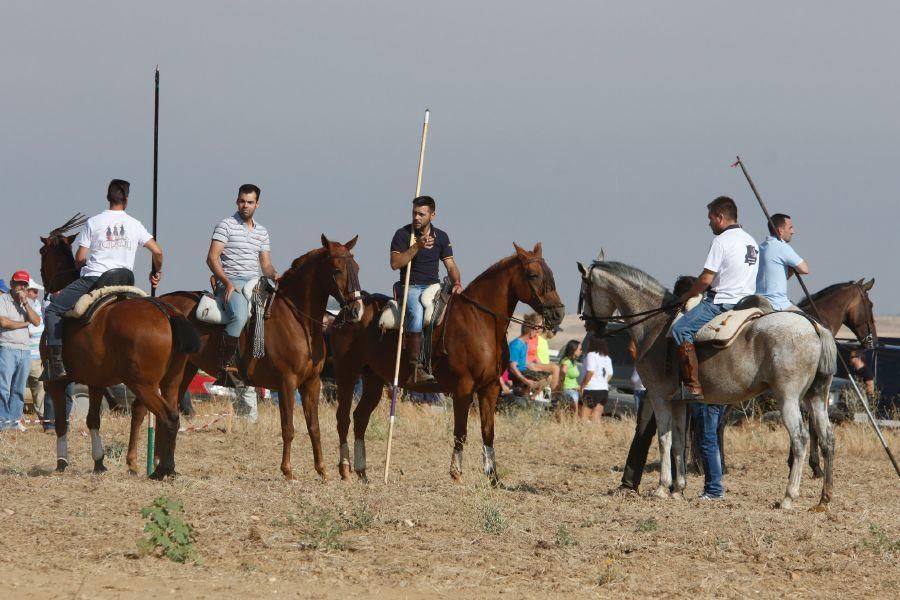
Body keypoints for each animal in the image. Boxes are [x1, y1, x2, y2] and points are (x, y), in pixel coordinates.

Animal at [39, 216, 200, 478]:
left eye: (42, 252)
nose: (44, 283)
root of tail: (166, 312)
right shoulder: (95, 382)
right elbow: (93, 420)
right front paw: (99, 462)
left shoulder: (56, 382)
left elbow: (62, 423)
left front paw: (62, 462)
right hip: (171, 382)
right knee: (171, 414)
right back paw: (167, 468)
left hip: (143, 384)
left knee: (167, 417)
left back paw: (161, 470)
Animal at [162, 237, 362, 480]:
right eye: (337, 270)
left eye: (357, 268)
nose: (355, 311)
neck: (298, 321)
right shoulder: (287, 383)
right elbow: (288, 428)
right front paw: (288, 471)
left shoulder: (312, 383)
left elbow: (314, 427)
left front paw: (322, 470)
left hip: (185, 370)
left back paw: (167, 466)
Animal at [330, 241, 564, 486]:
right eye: (533, 275)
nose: (558, 313)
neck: (480, 320)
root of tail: (344, 314)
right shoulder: (463, 390)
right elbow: (460, 432)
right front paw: (456, 473)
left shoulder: (490, 389)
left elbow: (488, 431)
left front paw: (493, 477)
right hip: (347, 375)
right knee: (343, 418)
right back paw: (345, 469)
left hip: (373, 379)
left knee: (360, 417)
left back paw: (362, 472)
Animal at [580, 258, 840, 510]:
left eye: (584, 290)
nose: (590, 327)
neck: (655, 326)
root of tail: (814, 327)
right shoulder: (679, 402)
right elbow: (678, 442)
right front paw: (678, 489)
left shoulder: (658, 396)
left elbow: (664, 440)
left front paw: (663, 488)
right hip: (816, 397)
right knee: (827, 438)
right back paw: (824, 499)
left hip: (788, 399)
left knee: (800, 439)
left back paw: (788, 497)